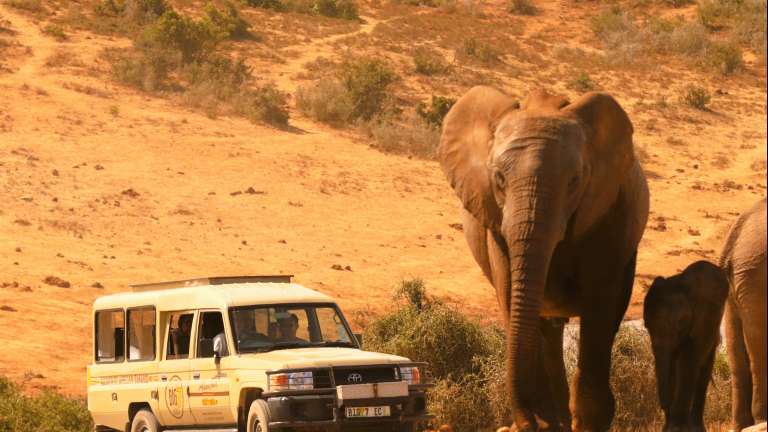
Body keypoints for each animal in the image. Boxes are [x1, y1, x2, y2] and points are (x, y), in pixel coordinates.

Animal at [437, 86, 649, 431]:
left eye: (574, 181)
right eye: (499, 179)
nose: (527, 422)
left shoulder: (611, 212)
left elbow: (600, 309)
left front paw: (587, 422)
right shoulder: (494, 224)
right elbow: (512, 296)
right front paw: (544, 422)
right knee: (546, 328)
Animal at [643, 260, 729, 432]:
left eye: (680, 323)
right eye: (646, 325)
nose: (665, 406)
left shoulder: (703, 317)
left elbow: (688, 361)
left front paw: (677, 427)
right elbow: (672, 362)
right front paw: (669, 427)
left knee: (703, 368)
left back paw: (696, 427)